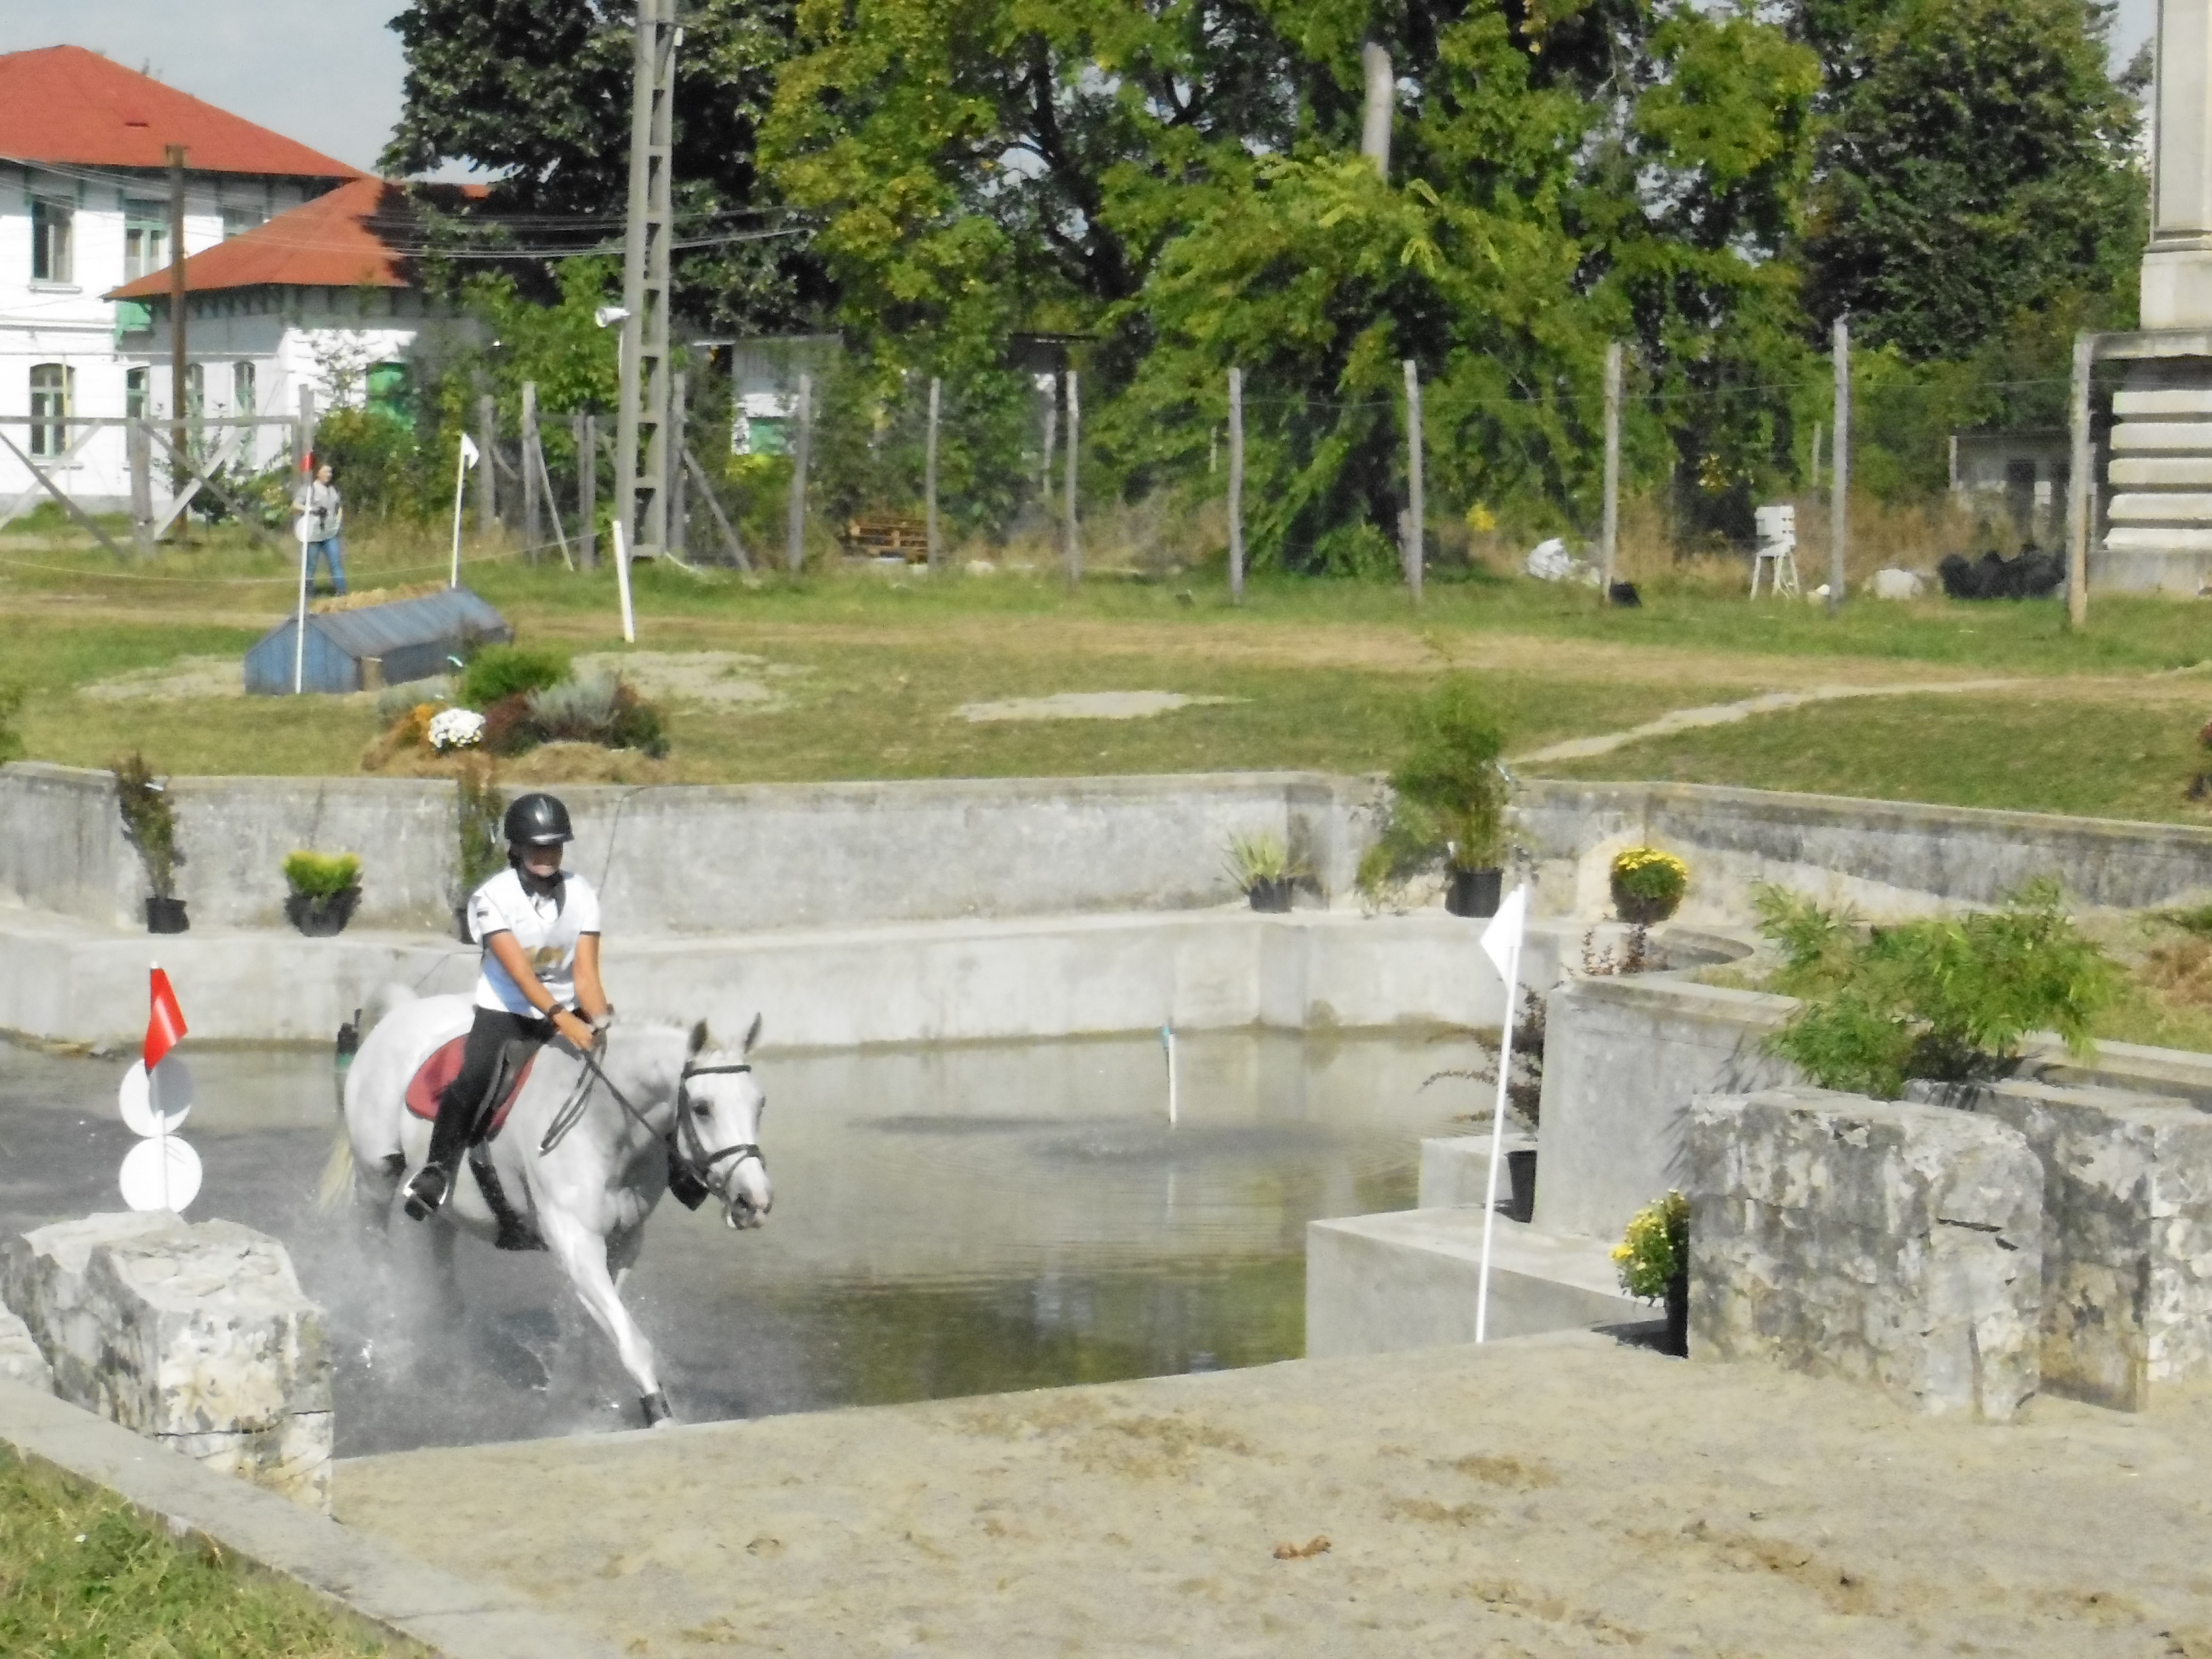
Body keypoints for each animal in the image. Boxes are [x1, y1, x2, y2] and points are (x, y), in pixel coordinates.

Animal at [323, 986, 778, 1433]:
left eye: (760, 1104)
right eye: (702, 1107)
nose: (754, 1202)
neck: (604, 1123)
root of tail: (402, 1009)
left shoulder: (623, 1242)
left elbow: (593, 1328)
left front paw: (567, 1396)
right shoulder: (576, 1241)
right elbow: (631, 1340)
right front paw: (660, 1415)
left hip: (445, 1204)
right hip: (376, 1175)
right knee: (374, 1249)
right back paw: (388, 1339)